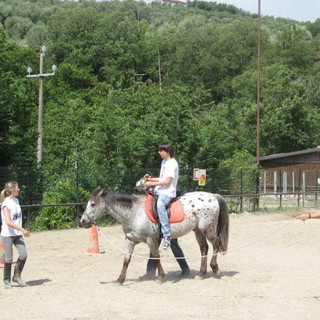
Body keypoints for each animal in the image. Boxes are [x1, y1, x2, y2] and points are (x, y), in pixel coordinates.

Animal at [80, 186, 230, 284]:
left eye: (93, 204)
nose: (83, 221)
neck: (135, 213)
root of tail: (212, 196)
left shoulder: (150, 239)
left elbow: (156, 257)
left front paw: (160, 277)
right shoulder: (130, 240)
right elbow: (127, 259)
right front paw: (120, 279)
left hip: (207, 230)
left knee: (216, 244)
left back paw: (215, 269)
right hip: (198, 231)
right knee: (204, 248)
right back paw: (201, 273)